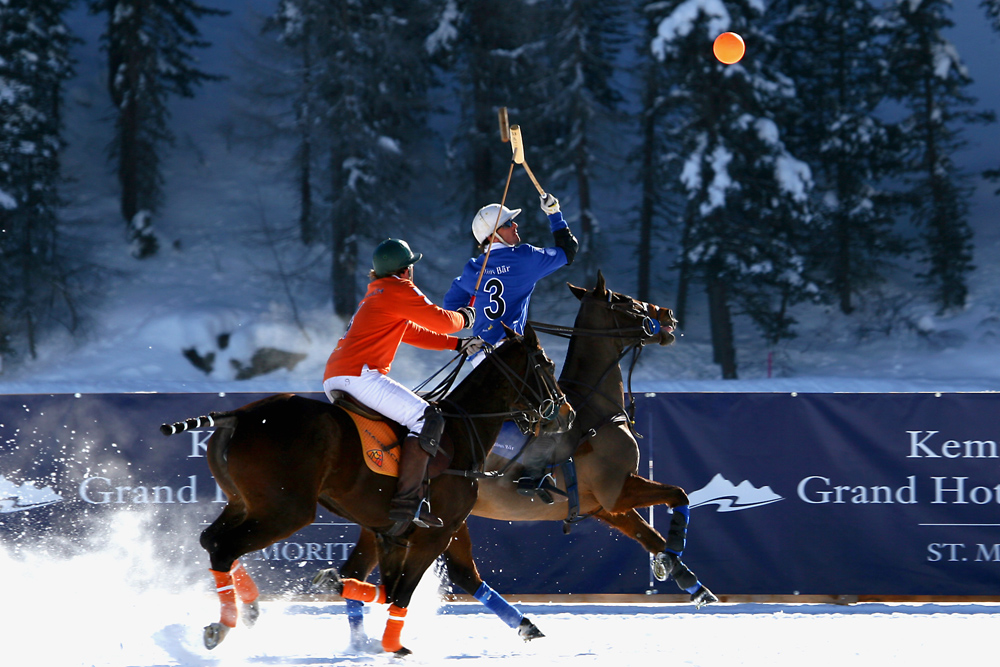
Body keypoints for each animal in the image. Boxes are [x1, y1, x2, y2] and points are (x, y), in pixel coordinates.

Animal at [160, 324, 576, 656]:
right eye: (546, 364)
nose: (567, 413)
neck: (463, 429)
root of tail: (240, 415)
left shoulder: (395, 530)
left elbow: (431, 580)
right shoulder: (435, 533)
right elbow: (401, 591)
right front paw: (392, 645)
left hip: (243, 502)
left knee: (212, 540)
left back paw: (248, 608)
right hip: (286, 511)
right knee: (224, 547)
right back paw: (226, 624)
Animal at [328, 272, 720, 648]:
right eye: (626, 300)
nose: (667, 315)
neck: (596, 409)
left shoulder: (604, 506)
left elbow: (649, 534)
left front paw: (688, 578)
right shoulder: (617, 489)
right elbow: (679, 494)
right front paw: (672, 557)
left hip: (416, 520)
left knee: (410, 571)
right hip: (430, 518)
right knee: (390, 571)